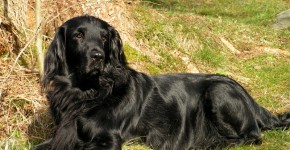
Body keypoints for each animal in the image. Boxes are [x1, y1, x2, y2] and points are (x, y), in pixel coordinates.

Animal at [32, 15, 290, 149]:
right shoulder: (61, 136)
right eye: (78, 35)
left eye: (104, 37)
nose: (98, 56)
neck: (88, 93)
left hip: (218, 92)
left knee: (252, 137)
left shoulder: (109, 139)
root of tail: (250, 98)